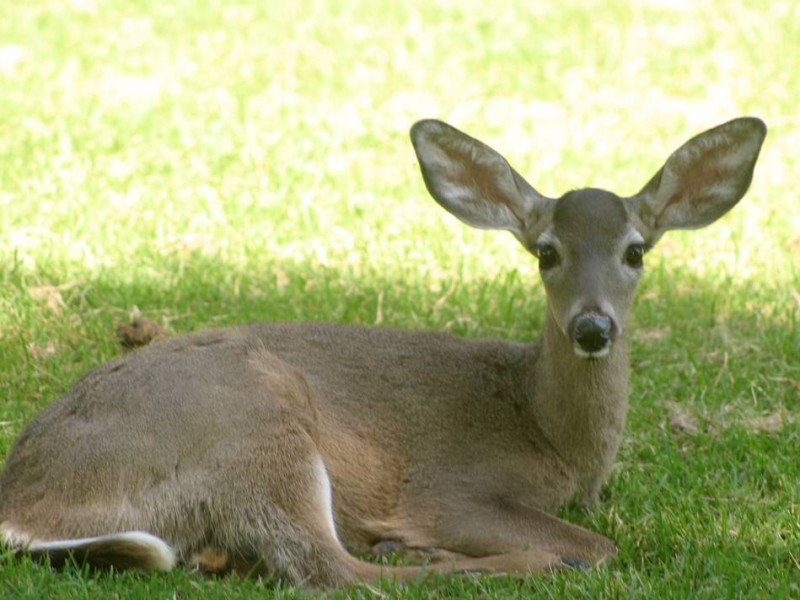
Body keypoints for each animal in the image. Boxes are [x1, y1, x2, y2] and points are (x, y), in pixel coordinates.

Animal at [0, 115, 764, 588]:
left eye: (636, 250)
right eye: (546, 251)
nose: (593, 327)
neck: (551, 437)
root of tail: (22, 508)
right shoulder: (449, 486)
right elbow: (601, 545)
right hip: (253, 419)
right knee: (329, 569)